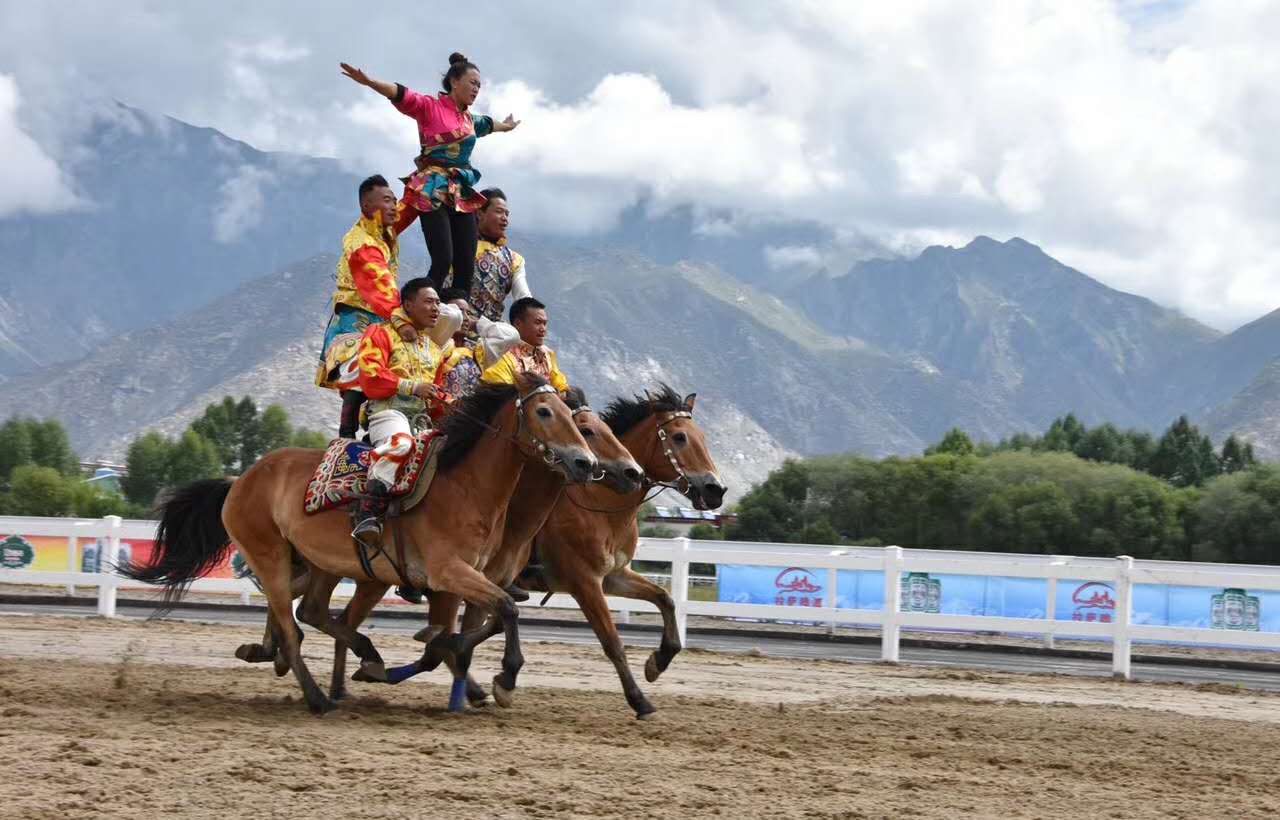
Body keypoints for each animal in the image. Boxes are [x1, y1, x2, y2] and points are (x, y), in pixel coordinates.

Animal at [123, 373, 593, 711]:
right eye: (545, 412)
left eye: (573, 416)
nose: (584, 462)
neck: (463, 485)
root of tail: (240, 479)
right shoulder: (449, 573)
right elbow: (504, 611)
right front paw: (505, 679)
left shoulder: (463, 579)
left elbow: (476, 625)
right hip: (269, 557)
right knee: (294, 627)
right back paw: (317, 696)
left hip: (322, 564)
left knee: (312, 612)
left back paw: (351, 656)